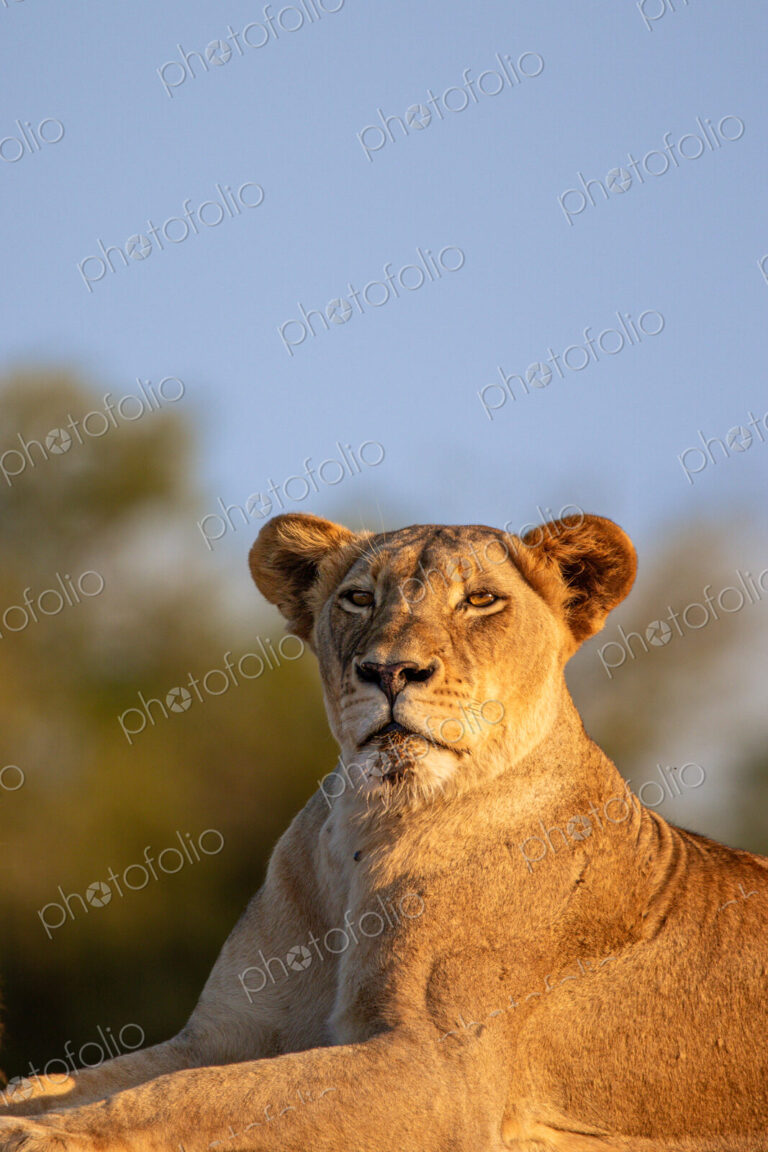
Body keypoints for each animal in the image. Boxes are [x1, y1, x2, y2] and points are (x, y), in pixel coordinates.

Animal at [2, 511, 768, 1152]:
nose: (390, 670)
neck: (367, 826)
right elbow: (86, 1082)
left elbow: (197, 1098)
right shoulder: (222, 1033)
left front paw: (38, 1136)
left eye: (480, 600)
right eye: (359, 599)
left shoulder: (437, 1068)